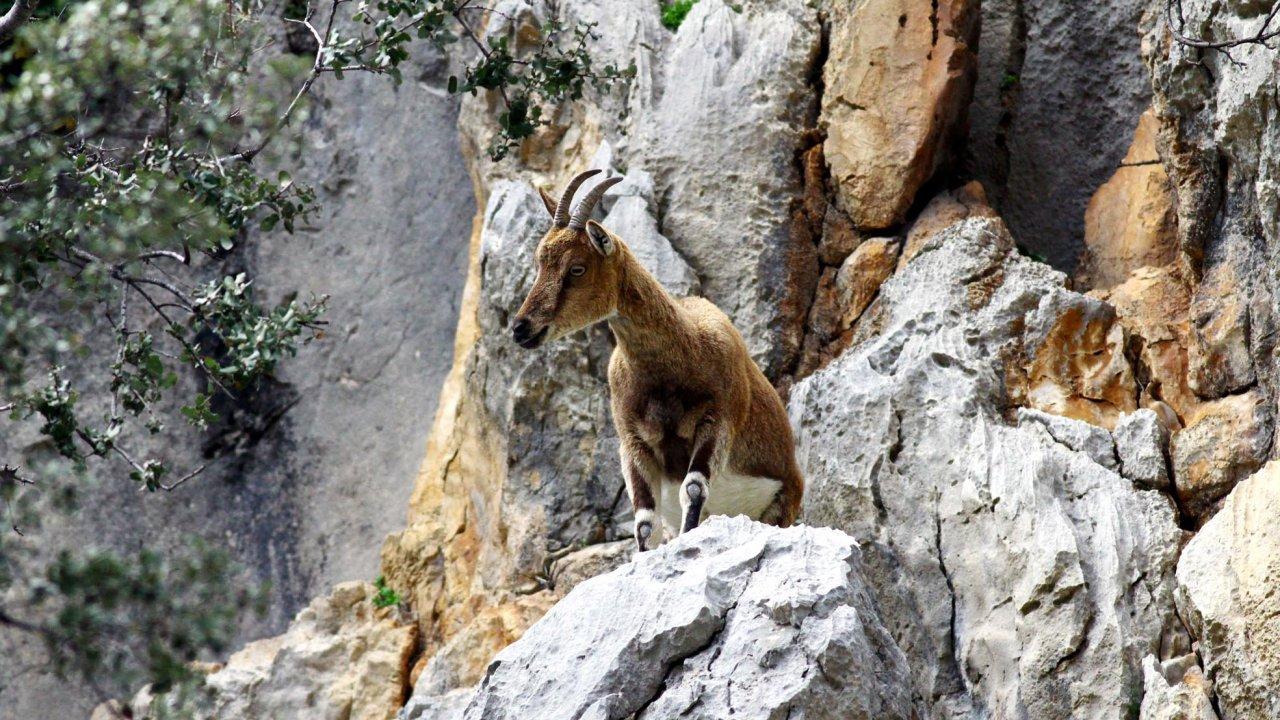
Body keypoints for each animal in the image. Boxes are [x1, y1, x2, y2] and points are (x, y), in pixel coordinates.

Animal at [509, 169, 798, 548]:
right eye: (539, 263)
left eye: (576, 268)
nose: (521, 327)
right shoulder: (633, 442)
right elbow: (645, 522)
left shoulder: (718, 420)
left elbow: (693, 488)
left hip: (784, 503)